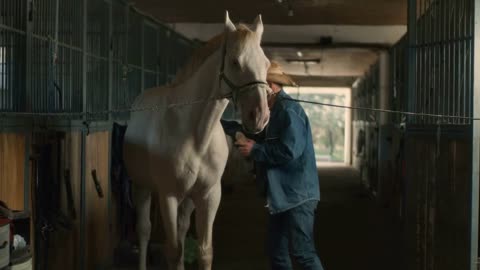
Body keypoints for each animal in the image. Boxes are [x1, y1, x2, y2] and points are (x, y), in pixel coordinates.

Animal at [122, 11, 272, 270]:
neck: (196, 135)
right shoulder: (168, 196)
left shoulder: (209, 195)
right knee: (144, 231)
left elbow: (203, 251)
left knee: (182, 232)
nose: (259, 116)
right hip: (142, 187)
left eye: (266, 64)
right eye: (235, 62)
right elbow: (173, 251)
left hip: (188, 200)